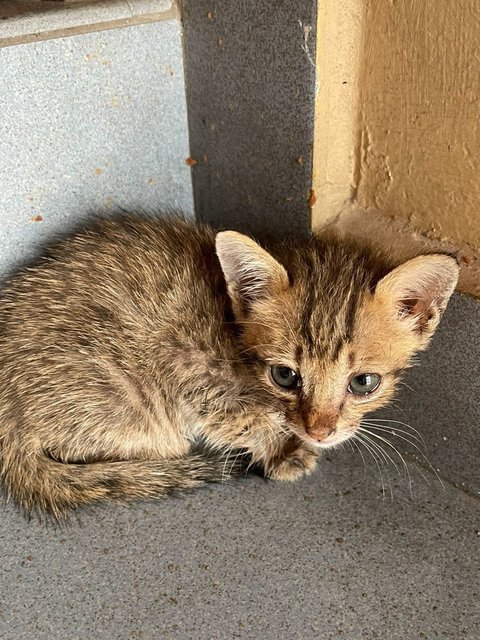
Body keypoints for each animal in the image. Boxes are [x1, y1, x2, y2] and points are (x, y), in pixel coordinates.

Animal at [0, 214, 460, 516]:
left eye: (364, 382)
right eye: (285, 375)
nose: (319, 431)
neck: (231, 328)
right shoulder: (195, 378)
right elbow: (245, 425)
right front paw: (283, 451)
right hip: (133, 406)